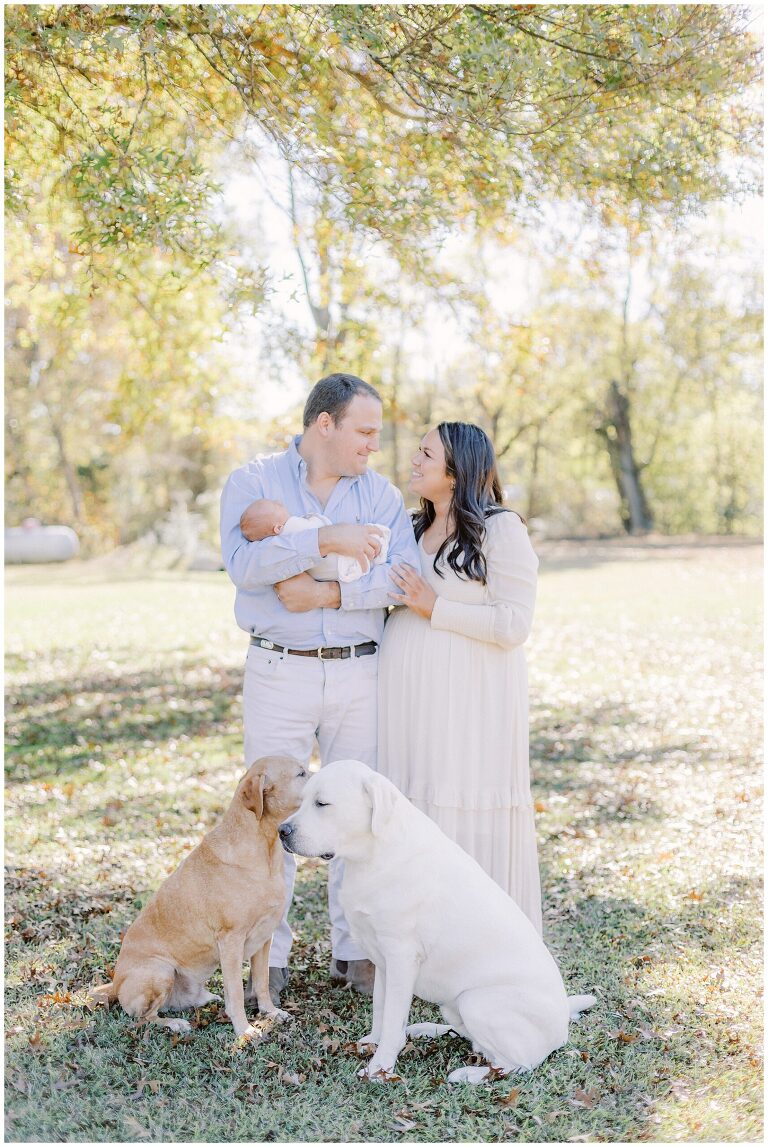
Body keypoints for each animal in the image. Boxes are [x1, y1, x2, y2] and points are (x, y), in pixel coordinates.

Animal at [279, 761, 600, 1082]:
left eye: (322, 803)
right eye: (303, 800)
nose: (282, 830)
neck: (374, 854)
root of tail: (561, 1027)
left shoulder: (401, 957)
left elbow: (392, 1016)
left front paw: (380, 1068)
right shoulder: (382, 960)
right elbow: (382, 1008)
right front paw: (374, 1042)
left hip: (476, 1002)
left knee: (516, 1064)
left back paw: (469, 1074)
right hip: (453, 1006)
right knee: (472, 1039)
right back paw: (425, 1030)